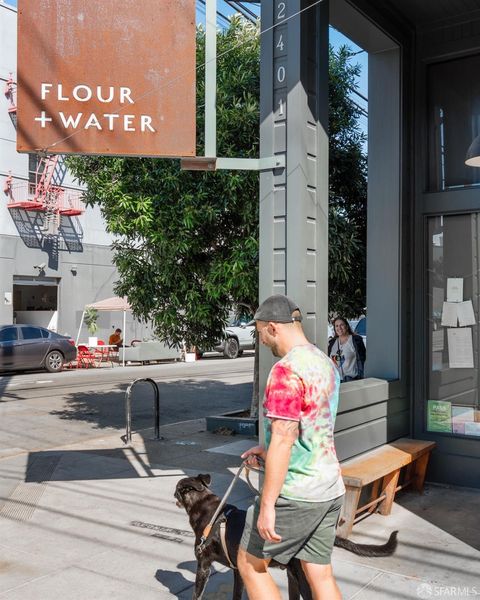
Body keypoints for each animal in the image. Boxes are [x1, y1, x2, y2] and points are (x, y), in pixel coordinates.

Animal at [175, 474, 398, 600]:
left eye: (177, 490)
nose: (173, 495)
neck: (204, 505)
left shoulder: (203, 566)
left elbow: (196, 595)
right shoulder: (239, 571)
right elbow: (236, 595)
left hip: (303, 578)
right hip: (295, 576)